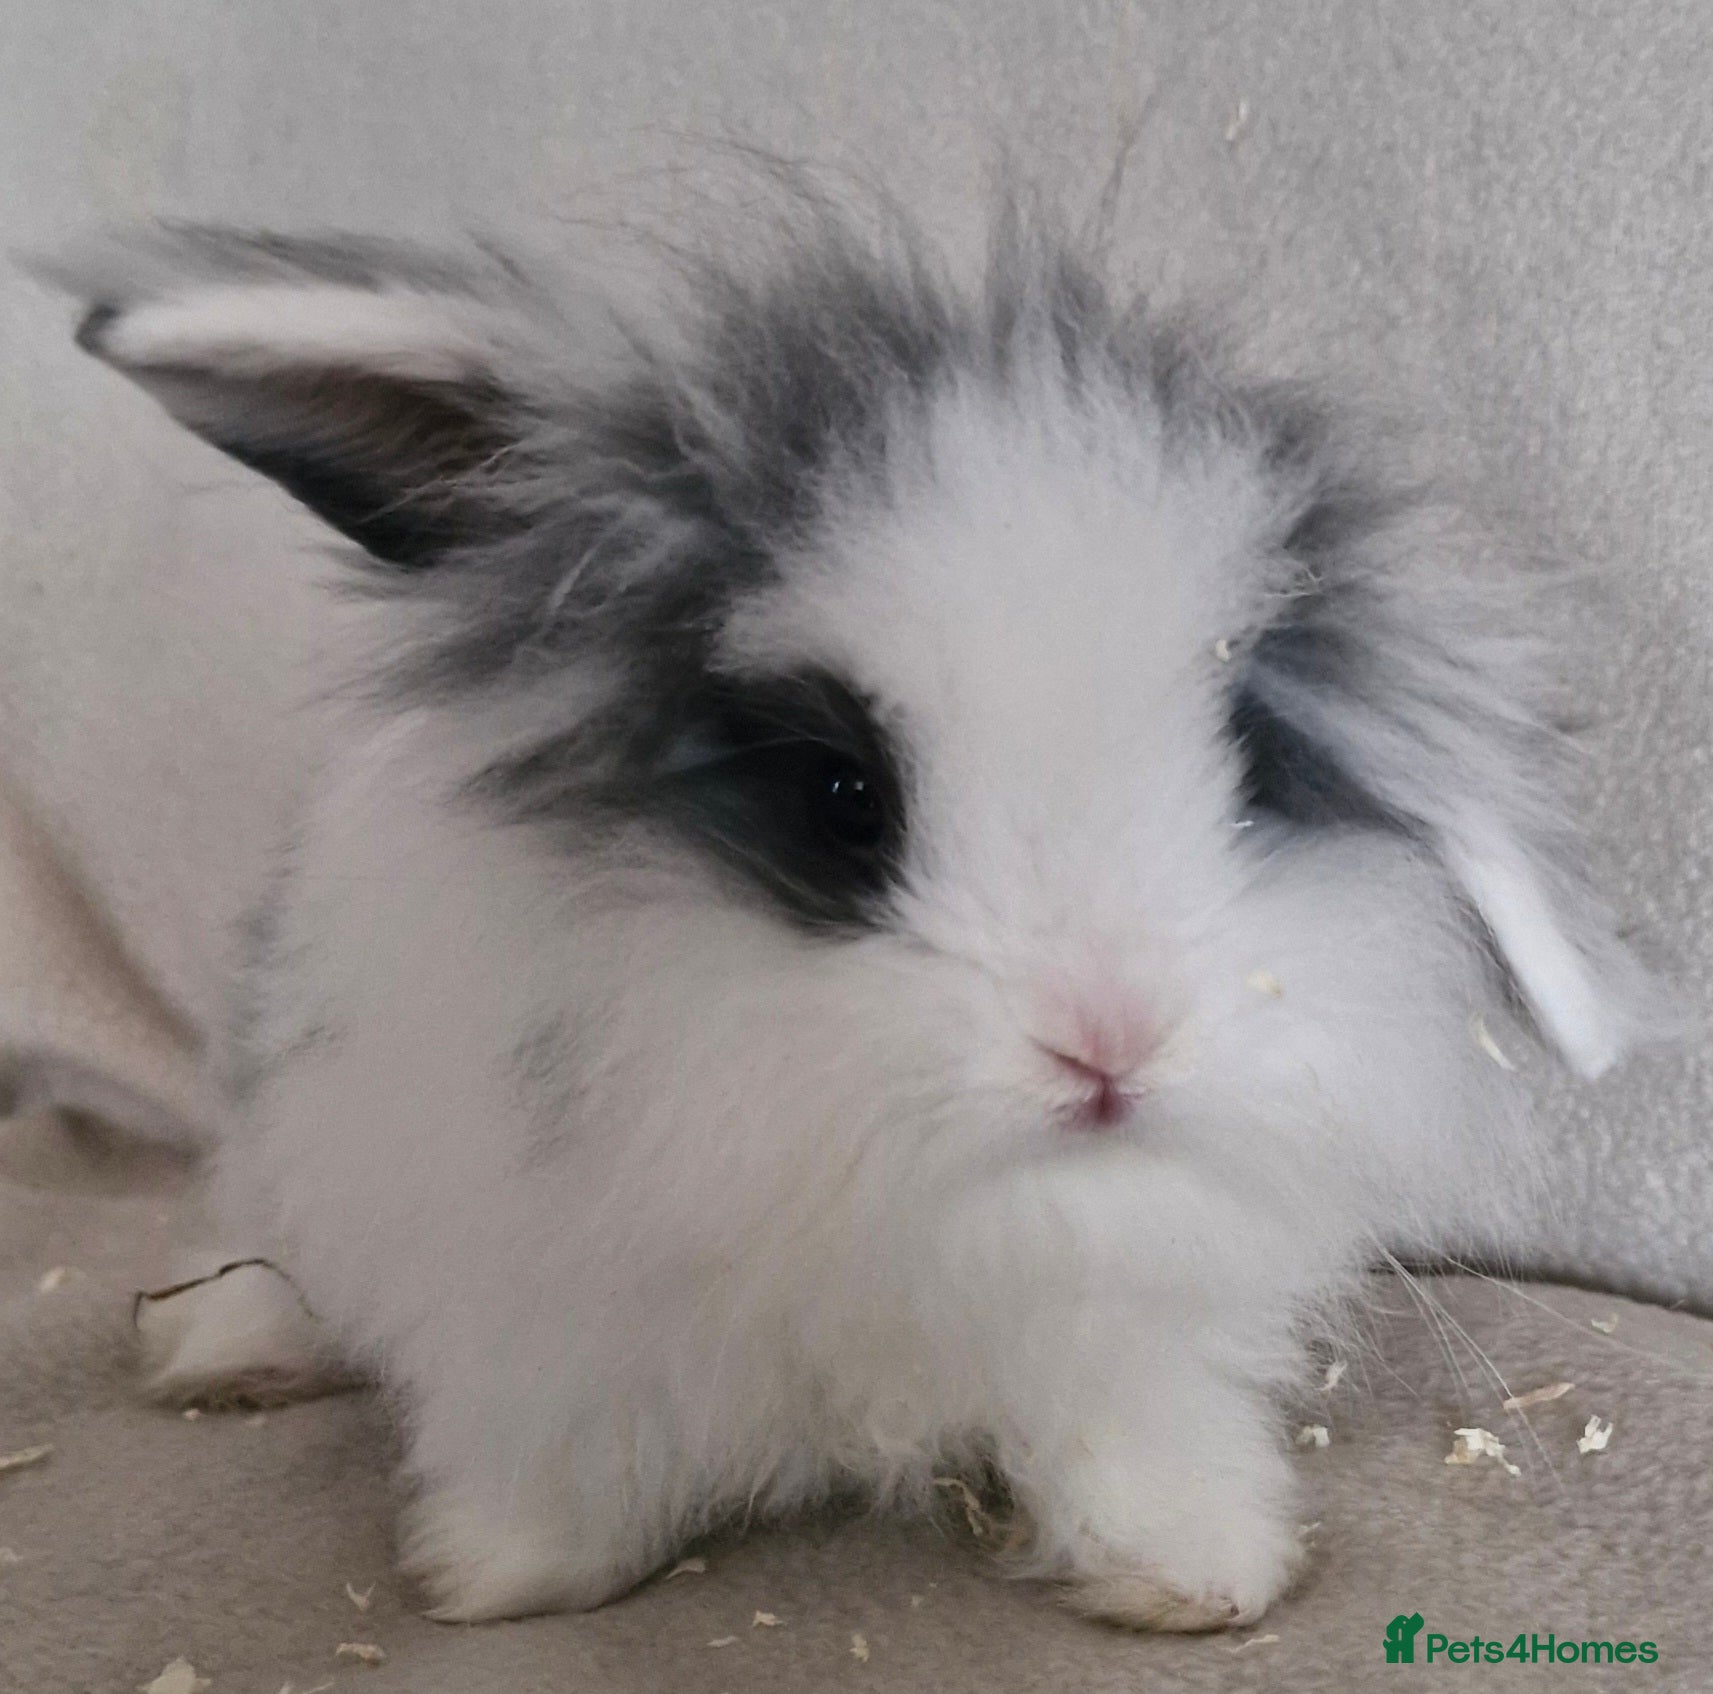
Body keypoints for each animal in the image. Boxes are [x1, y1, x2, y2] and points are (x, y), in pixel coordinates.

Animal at [49, 198, 1656, 1631]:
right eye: (840, 795)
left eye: (1252, 766)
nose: (1109, 1039)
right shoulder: (530, 1300)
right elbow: (555, 1447)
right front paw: (498, 1575)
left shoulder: (1129, 1326)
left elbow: (1130, 1433)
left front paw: (1196, 1577)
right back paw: (217, 1348)